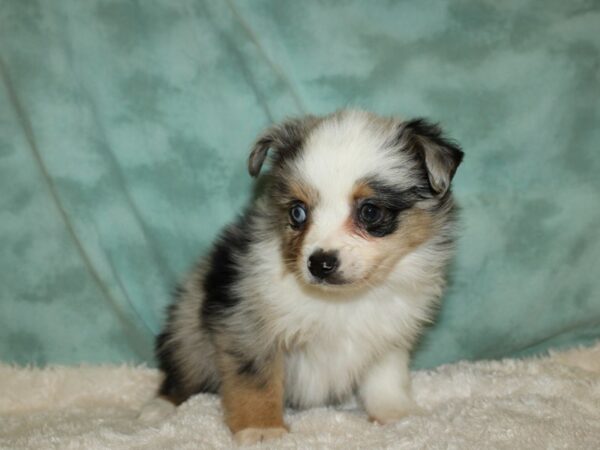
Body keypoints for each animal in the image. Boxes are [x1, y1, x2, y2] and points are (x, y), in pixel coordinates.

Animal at [141, 110, 464, 446]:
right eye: (298, 212)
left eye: (370, 212)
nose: (319, 263)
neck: (341, 300)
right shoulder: (246, 323)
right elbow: (256, 379)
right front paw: (261, 429)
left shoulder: (388, 333)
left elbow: (386, 376)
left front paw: (397, 414)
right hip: (189, 322)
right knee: (182, 374)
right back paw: (158, 408)